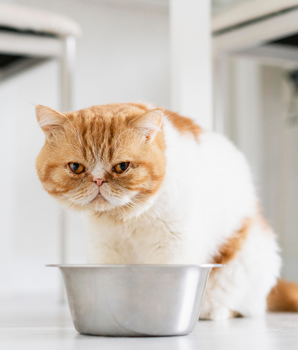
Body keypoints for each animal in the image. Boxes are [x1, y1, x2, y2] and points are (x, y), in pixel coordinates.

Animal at [35, 102, 298, 320]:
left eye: (122, 167)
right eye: (76, 167)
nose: (98, 181)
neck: (126, 219)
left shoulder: (173, 245)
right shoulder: (106, 249)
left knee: (239, 307)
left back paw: (212, 311)